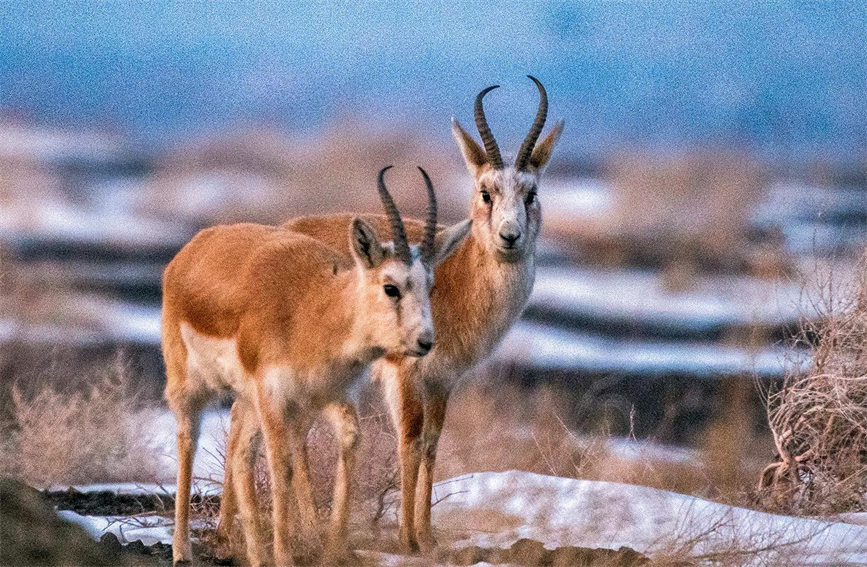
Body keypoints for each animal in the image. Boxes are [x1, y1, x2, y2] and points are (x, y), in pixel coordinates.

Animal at [162, 166, 471, 566]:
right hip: (190, 389)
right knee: (188, 442)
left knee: (241, 455)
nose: (425, 342)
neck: (314, 311)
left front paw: (334, 550)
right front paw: (286, 556)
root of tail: (196, 246)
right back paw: (182, 551)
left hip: (248, 400)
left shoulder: (328, 395)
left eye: (430, 286)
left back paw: (252, 553)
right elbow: (282, 465)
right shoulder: (275, 399)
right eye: (391, 287)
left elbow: (351, 441)